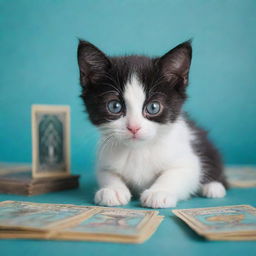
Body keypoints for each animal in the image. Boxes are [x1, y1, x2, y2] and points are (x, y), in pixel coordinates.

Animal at [77, 39, 227, 208]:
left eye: (153, 107)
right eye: (114, 106)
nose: (133, 127)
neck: (138, 151)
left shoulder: (189, 161)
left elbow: (176, 173)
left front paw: (159, 192)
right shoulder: (104, 162)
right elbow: (108, 174)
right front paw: (113, 190)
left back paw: (213, 187)